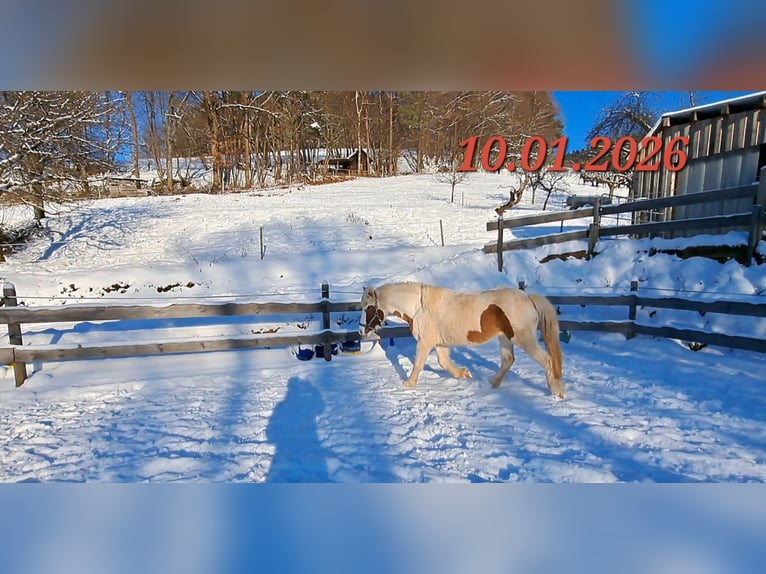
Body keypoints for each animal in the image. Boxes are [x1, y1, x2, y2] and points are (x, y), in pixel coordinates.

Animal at [359, 282, 565, 398]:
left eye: (368, 308)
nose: (361, 330)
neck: (419, 307)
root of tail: (528, 299)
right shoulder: (439, 344)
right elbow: (443, 363)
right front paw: (465, 374)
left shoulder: (425, 343)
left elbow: (418, 364)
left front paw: (408, 383)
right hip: (505, 338)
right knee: (508, 360)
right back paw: (493, 384)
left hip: (524, 339)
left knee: (547, 360)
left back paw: (557, 391)